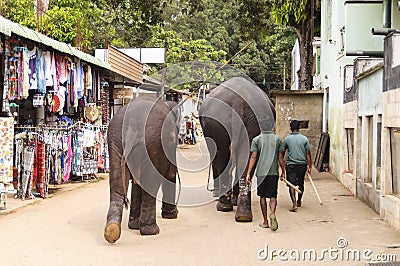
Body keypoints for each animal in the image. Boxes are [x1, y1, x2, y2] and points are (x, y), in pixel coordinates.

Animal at [104, 97, 179, 243]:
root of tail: (131, 126)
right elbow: (170, 174)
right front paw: (172, 215)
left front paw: (133, 226)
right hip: (153, 143)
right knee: (151, 182)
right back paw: (151, 231)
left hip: (115, 140)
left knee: (117, 184)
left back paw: (112, 231)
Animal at [199, 76, 276, 222]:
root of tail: (239, 103)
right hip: (252, 122)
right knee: (247, 157)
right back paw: (243, 215)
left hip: (219, 122)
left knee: (222, 155)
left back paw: (223, 206)